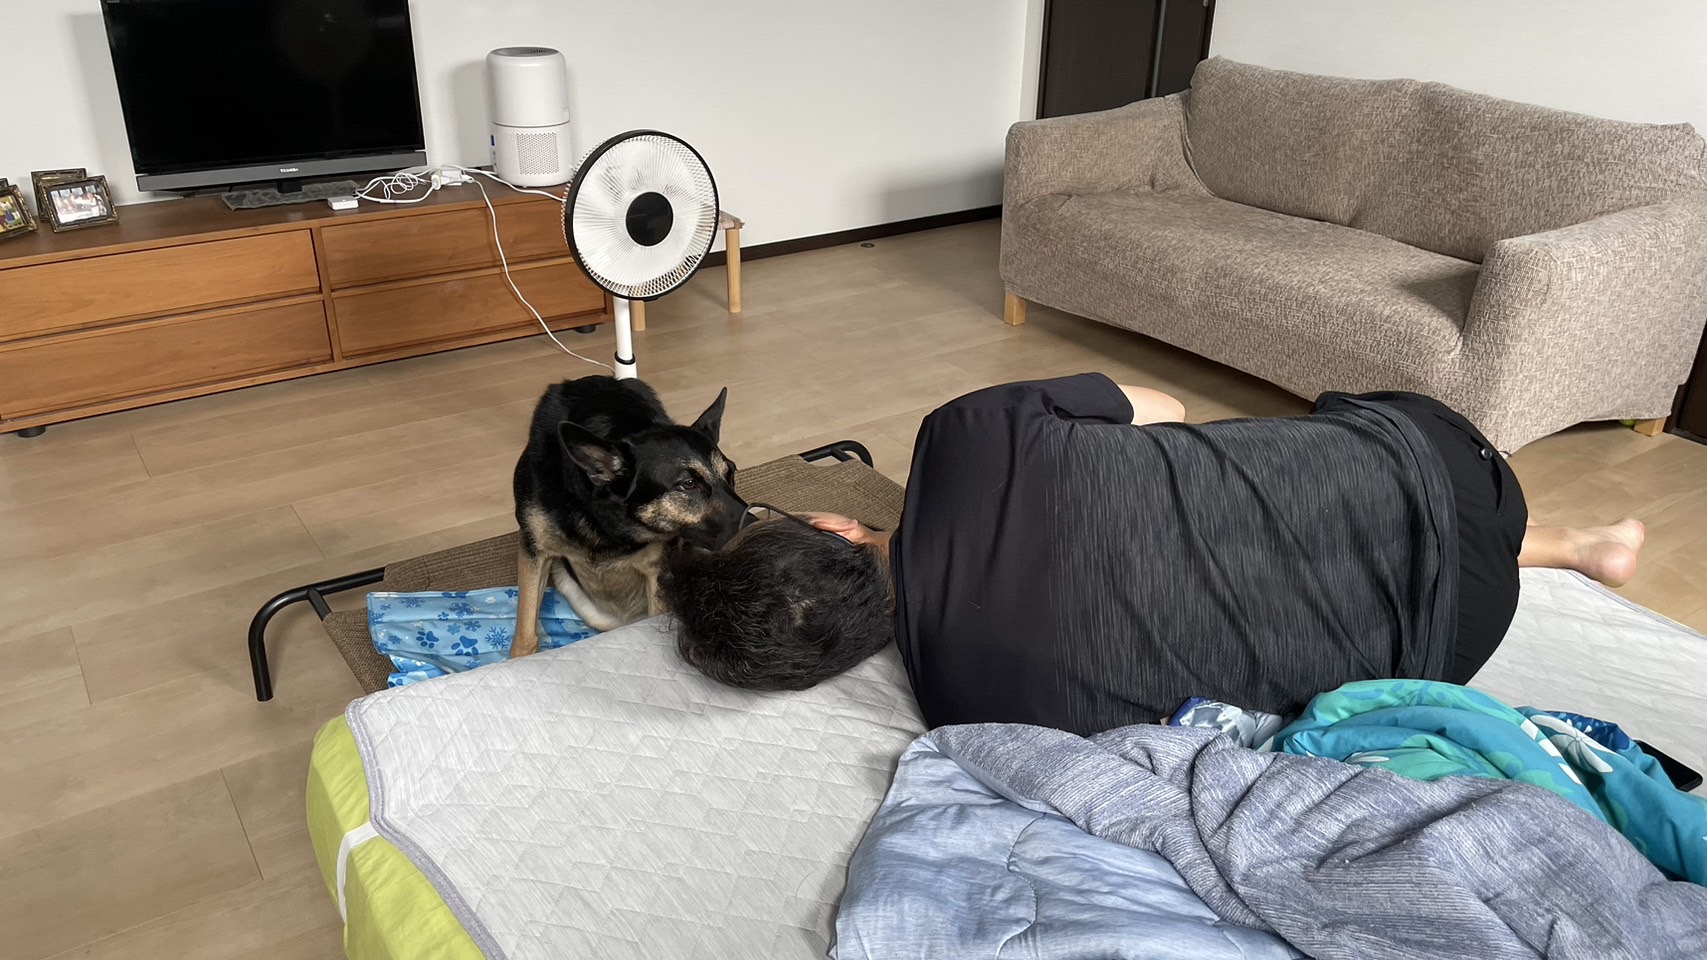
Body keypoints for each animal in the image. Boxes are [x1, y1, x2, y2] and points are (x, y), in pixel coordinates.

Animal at [511, 375, 744, 657]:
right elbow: (525, 634)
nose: (757, 523)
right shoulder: (534, 550)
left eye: (731, 473)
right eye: (688, 484)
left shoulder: (656, 571)